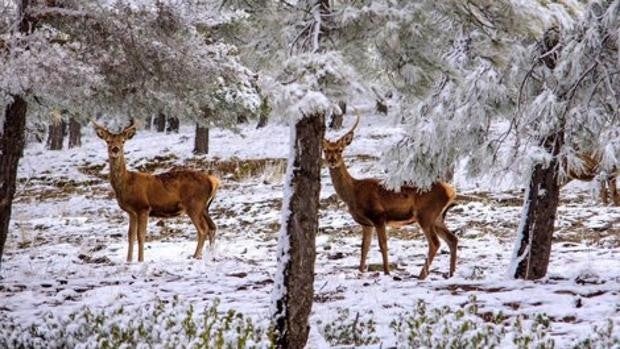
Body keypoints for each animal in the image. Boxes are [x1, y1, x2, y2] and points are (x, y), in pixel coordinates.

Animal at [91, 119, 219, 260]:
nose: (115, 149)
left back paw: (196, 255)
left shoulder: (143, 207)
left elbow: (141, 235)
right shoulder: (131, 212)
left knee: (203, 229)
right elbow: (130, 236)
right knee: (212, 227)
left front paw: (140, 260)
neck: (126, 184)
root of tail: (213, 180)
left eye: (123, 141)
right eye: (108, 141)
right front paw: (128, 260)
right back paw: (209, 253)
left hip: (194, 204)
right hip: (204, 207)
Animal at [322, 115, 458, 278]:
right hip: (437, 217)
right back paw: (451, 273)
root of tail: (450, 190)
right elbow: (364, 248)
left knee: (435, 243)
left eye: (340, 150)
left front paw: (387, 272)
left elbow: (383, 245)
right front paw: (360, 271)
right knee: (452, 239)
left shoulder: (378, 216)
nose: (332, 161)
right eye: (325, 150)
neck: (353, 193)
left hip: (426, 214)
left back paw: (422, 275)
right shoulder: (366, 223)